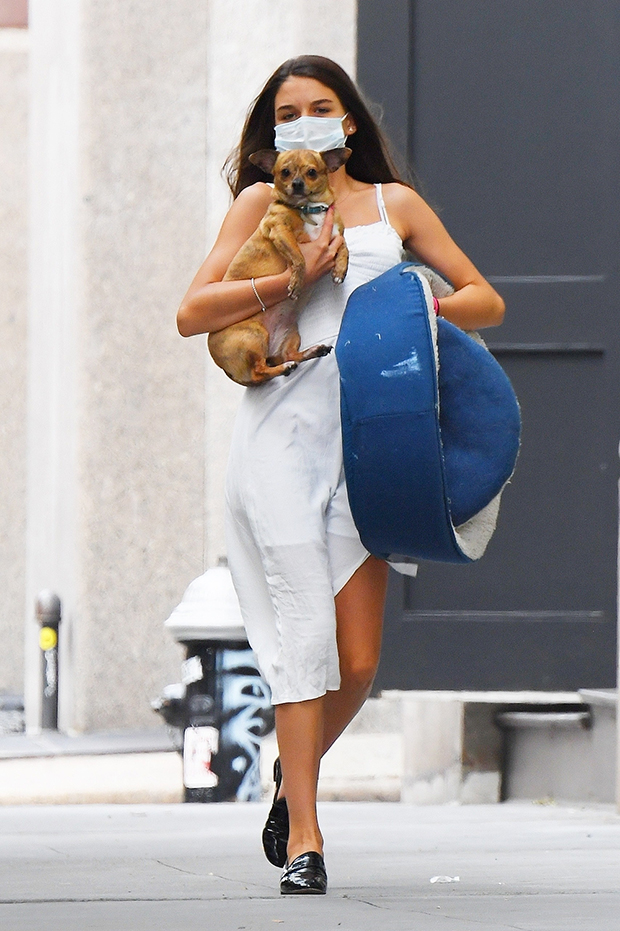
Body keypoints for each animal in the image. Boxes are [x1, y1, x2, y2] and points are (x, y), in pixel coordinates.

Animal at [207, 148, 348, 386]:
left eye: (312, 172)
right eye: (285, 172)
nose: (297, 184)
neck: (309, 208)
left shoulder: (337, 236)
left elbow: (345, 249)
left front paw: (340, 270)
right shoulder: (280, 231)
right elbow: (299, 257)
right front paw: (296, 282)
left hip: (291, 334)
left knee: (289, 354)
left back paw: (312, 352)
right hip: (254, 336)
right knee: (260, 370)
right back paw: (284, 368)